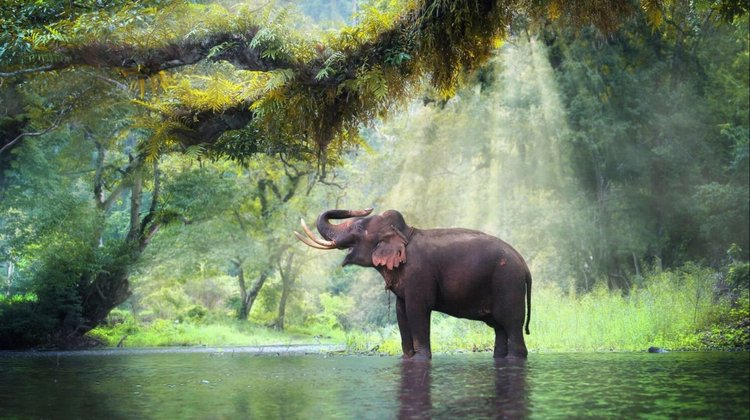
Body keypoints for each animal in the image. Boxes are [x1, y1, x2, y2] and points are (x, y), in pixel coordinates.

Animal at [295, 208, 532, 361]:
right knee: (500, 328)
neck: (405, 233)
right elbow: (401, 312)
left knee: (511, 325)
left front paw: (421, 359)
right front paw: (406, 358)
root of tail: (525, 266)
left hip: (508, 284)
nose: (364, 208)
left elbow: (417, 310)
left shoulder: (419, 274)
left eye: (360, 228)